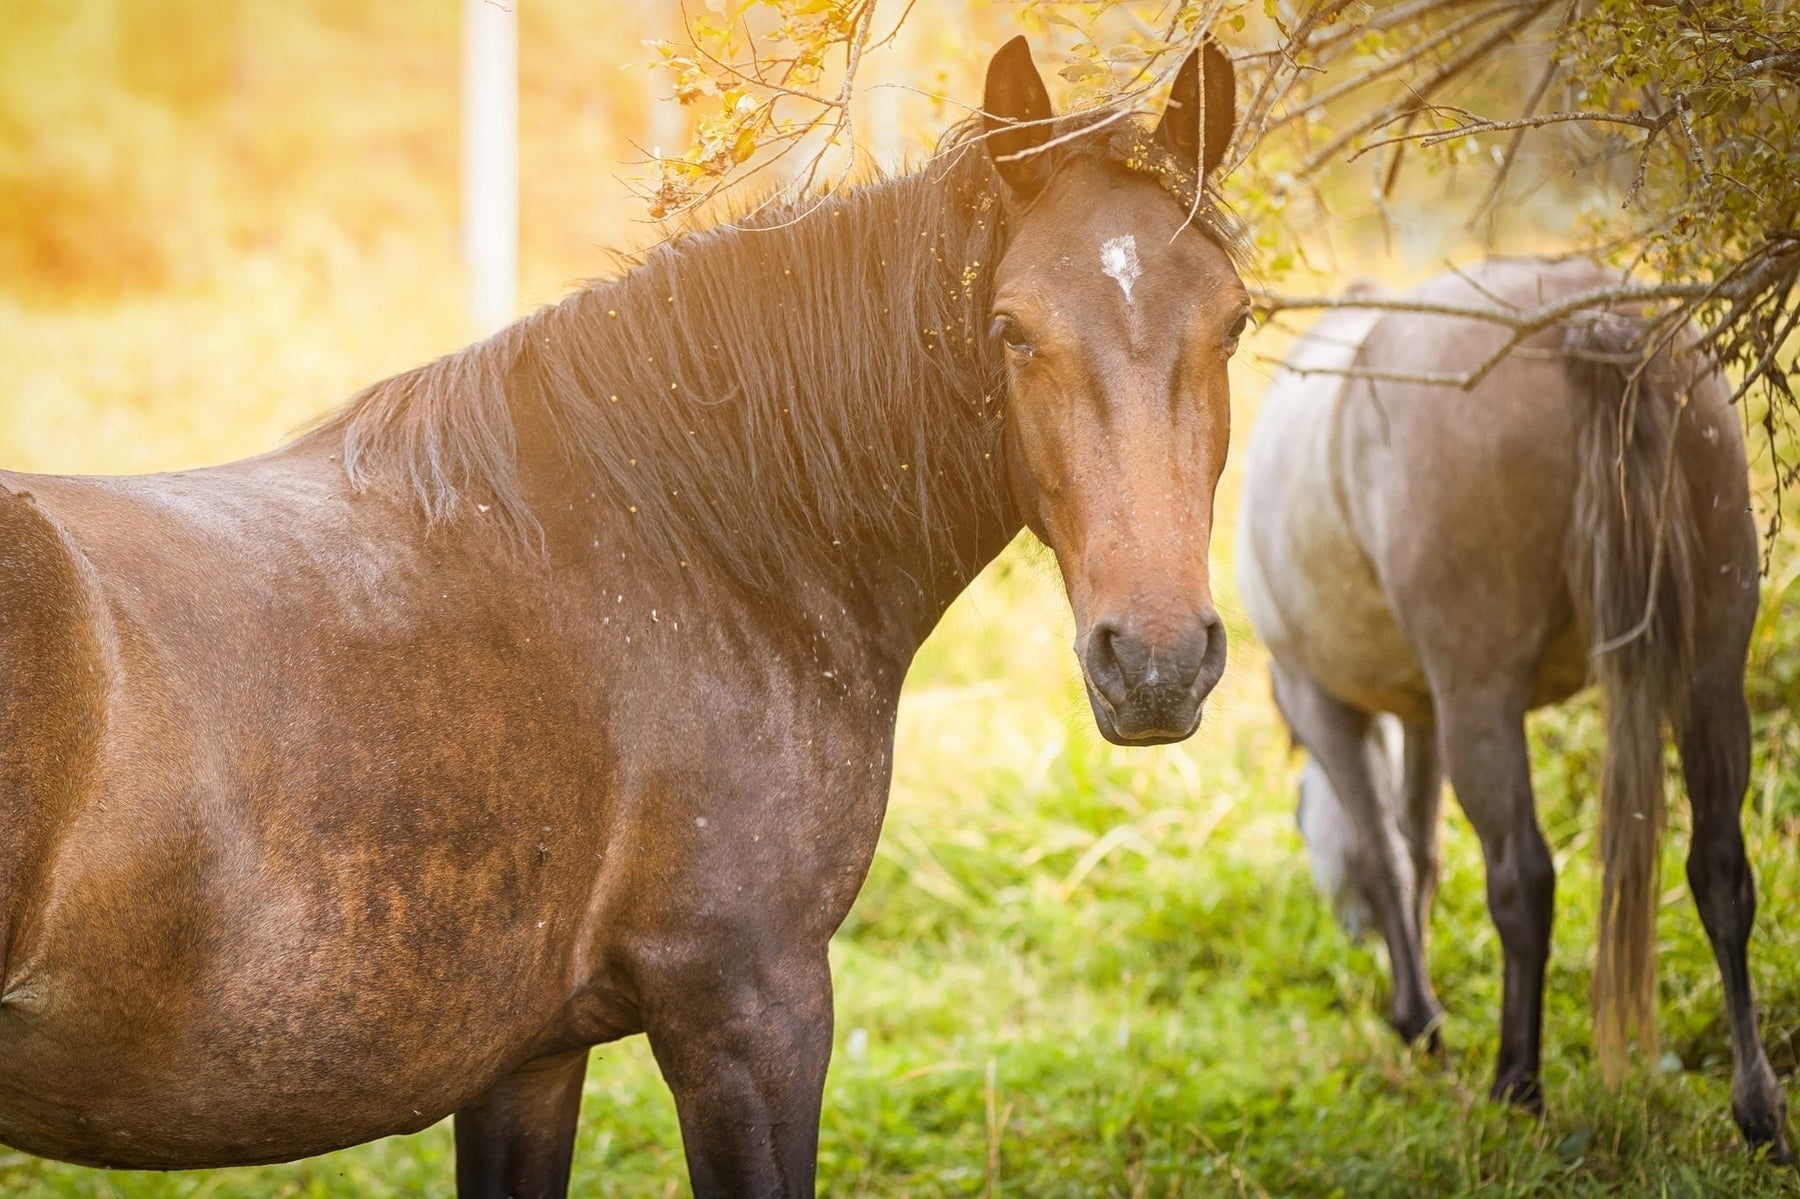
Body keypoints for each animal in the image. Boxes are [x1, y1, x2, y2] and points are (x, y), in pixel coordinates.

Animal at [0, 36, 1251, 1199]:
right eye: (1013, 330)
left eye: (1234, 322)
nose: (1154, 662)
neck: (685, 547)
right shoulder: (750, 1008)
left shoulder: (527, 1059)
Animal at [1237, 257, 1791, 1160]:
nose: (1348, 930)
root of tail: (1583, 319)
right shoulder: (1422, 711)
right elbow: (1418, 845)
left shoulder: (1326, 702)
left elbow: (1386, 854)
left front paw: (1420, 1021)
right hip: (1710, 670)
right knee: (1718, 867)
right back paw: (1760, 1112)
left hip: (1483, 699)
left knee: (1523, 876)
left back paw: (1517, 1087)